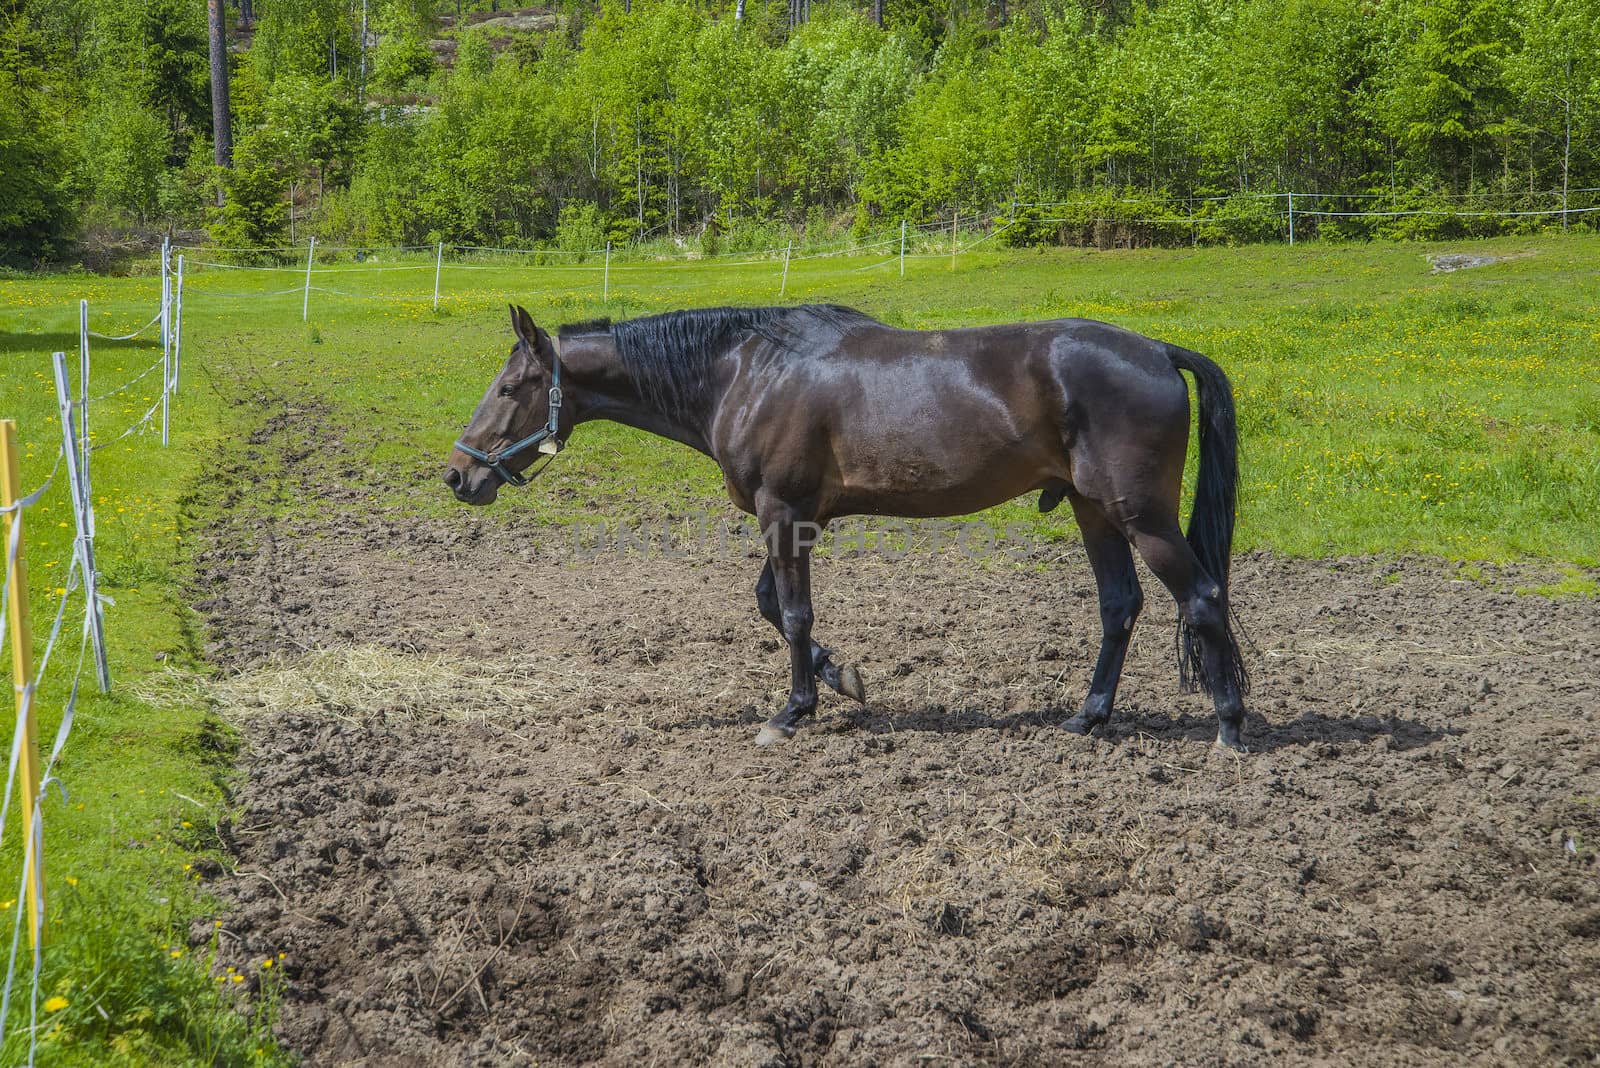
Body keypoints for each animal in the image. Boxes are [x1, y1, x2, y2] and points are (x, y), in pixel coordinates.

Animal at [441, 302, 1248, 751]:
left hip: (1140, 517)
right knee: (1120, 607)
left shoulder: (784, 514)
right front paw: (844, 679)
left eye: (511, 386)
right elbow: (772, 606)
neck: (743, 373)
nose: (458, 475)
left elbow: (794, 614)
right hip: (1091, 511)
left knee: (1202, 596)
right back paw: (1088, 718)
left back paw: (1230, 729)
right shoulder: (795, 518)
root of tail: (1158, 351)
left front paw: (792, 712)